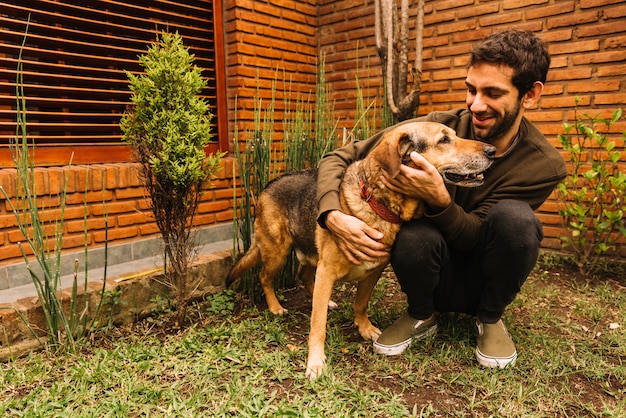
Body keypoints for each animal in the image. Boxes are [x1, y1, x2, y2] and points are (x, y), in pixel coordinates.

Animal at [227, 121, 494, 378]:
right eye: (444, 140)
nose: (492, 151)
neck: (378, 204)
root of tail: (269, 184)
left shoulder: (372, 271)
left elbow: (360, 304)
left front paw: (364, 328)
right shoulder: (327, 270)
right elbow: (317, 324)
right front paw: (315, 362)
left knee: (303, 275)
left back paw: (325, 300)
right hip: (278, 251)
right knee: (264, 276)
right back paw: (275, 307)